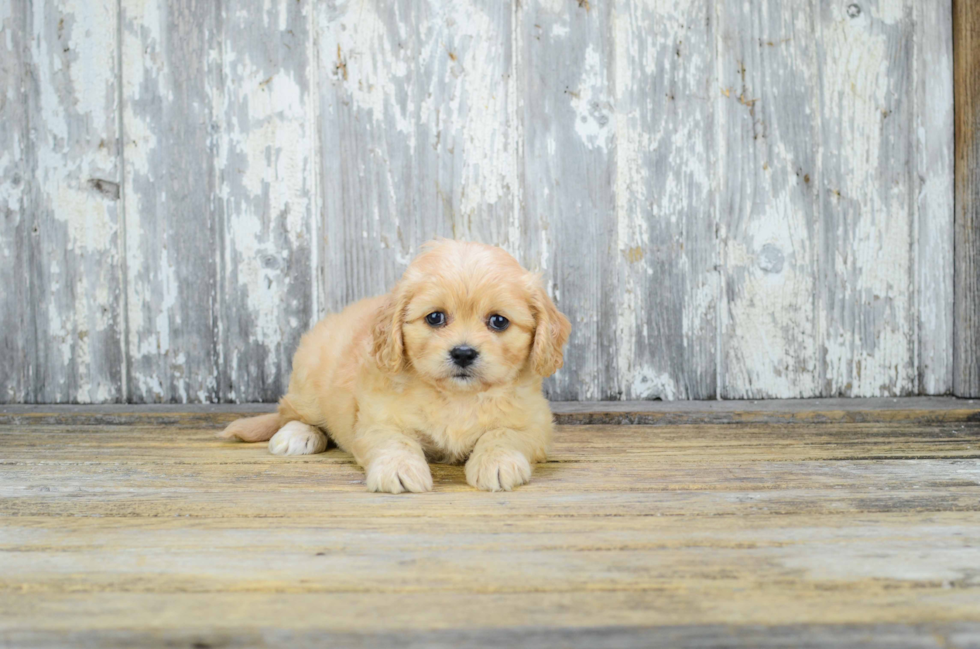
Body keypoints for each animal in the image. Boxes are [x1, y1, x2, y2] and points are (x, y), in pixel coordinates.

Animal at [218, 238, 572, 492]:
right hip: (308, 384)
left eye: (498, 321)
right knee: (291, 414)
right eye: (435, 317)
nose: (463, 353)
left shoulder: (534, 422)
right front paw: (399, 470)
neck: (456, 397)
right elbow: (395, 441)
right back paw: (297, 435)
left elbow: (501, 434)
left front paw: (497, 462)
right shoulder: (378, 418)